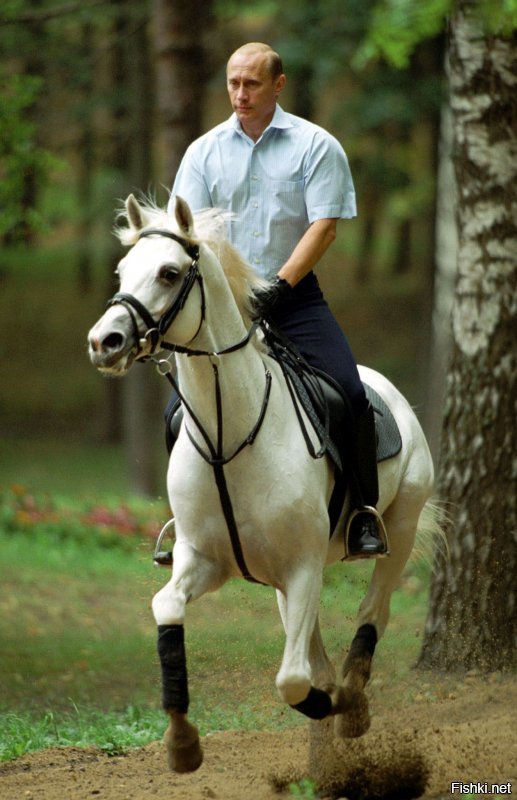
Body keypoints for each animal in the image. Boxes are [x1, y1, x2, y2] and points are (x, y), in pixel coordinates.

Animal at [86, 195, 434, 776]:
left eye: (169, 272)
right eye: (122, 271)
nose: (103, 342)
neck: (231, 432)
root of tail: (388, 389)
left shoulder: (303, 567)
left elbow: (292, 682)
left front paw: (335, 705)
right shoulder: (204, 561)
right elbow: (167, 609)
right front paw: (182, 742)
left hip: (399, 528)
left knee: (372, 612)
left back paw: (351, 703)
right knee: (314, 643)